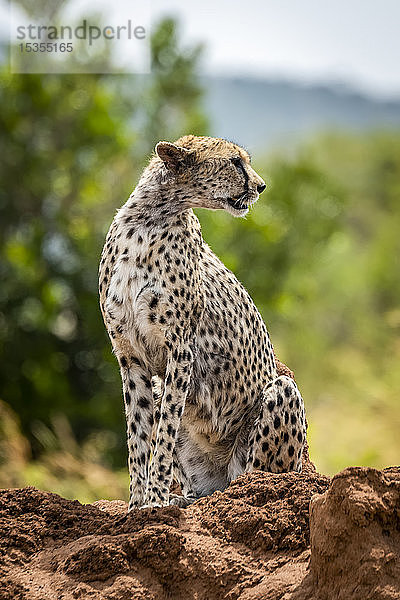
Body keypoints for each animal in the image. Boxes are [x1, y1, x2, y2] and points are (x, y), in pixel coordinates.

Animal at [99, 134, 306, 508]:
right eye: (235, 162)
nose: (261, 186)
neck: (150, 217)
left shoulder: (180, 349)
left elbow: (163, 431)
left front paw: (154, 499)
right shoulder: (130, 356)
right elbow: (138, 434)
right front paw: (137, 504)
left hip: (280, 398)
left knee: (254, 477)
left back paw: (240, 491)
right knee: (200, 488)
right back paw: (184, 499)